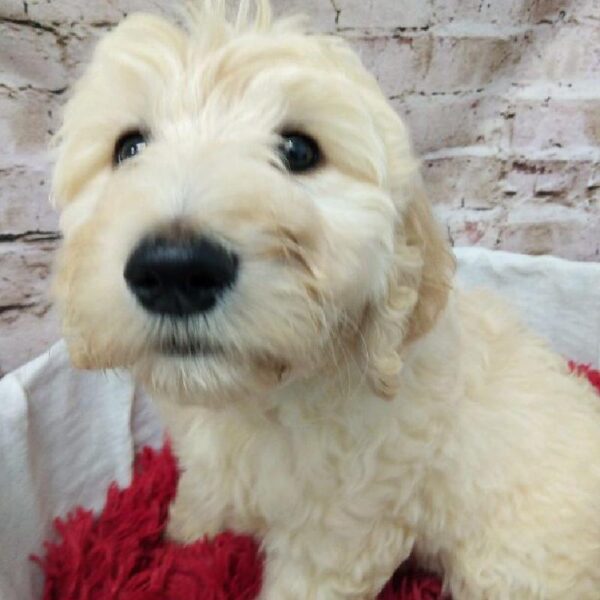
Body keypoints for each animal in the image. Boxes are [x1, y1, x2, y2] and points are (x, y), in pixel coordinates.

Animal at [50, 2, 600, 596]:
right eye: (129, 147)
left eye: (299, 151)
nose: (176, 271)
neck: (263, 398)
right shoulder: (211, 460)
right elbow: (203, 494)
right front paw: (181, 538)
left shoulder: (343, 527)